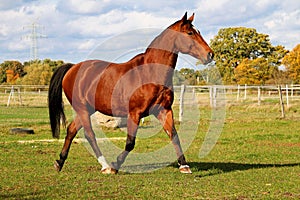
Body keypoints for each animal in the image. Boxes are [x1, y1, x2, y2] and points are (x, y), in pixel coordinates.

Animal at [48, 12, 213, 174]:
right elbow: (130, 143)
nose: (210, 55)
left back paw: (59, 162)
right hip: (82, 109)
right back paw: (105, 166)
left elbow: (174, 135)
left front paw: (184, 165)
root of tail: (72, 68)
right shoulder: (134, 113)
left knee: (71, 130)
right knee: (90, 135)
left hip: (87, 109)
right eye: (190, 33)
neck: (150, 73)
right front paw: (115, 165)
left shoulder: (164, 110)